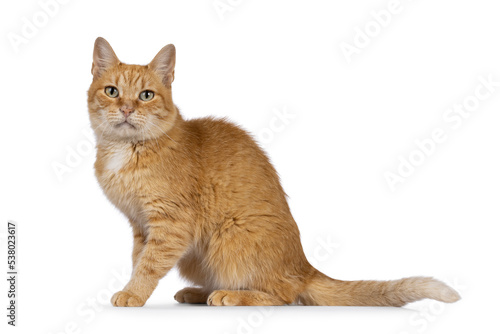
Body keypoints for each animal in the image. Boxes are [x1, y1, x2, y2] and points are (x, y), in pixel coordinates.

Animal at [87, 37, 460, 306]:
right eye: (112, 91)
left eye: (146, 95)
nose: (126, 108)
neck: (128, 150)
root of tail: (304, 266)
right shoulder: (141, 225)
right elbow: (138, 259)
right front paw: (133, 288)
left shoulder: (171, 224)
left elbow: (148, 265)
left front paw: (133, 293)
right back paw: (199, 293)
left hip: (229, 239)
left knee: (283, 294)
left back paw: (230, 295)